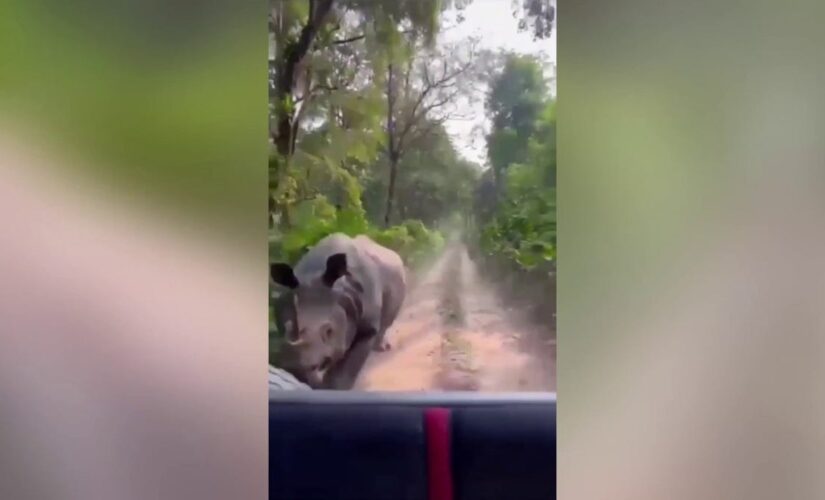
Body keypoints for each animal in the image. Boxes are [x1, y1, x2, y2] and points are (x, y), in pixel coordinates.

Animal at [270, 234, 406, 390]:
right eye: (287, 328)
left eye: (329, 331)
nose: (295, 366)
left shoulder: (367, 328)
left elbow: (346, 369)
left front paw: (335, 388)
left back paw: (381, 348)